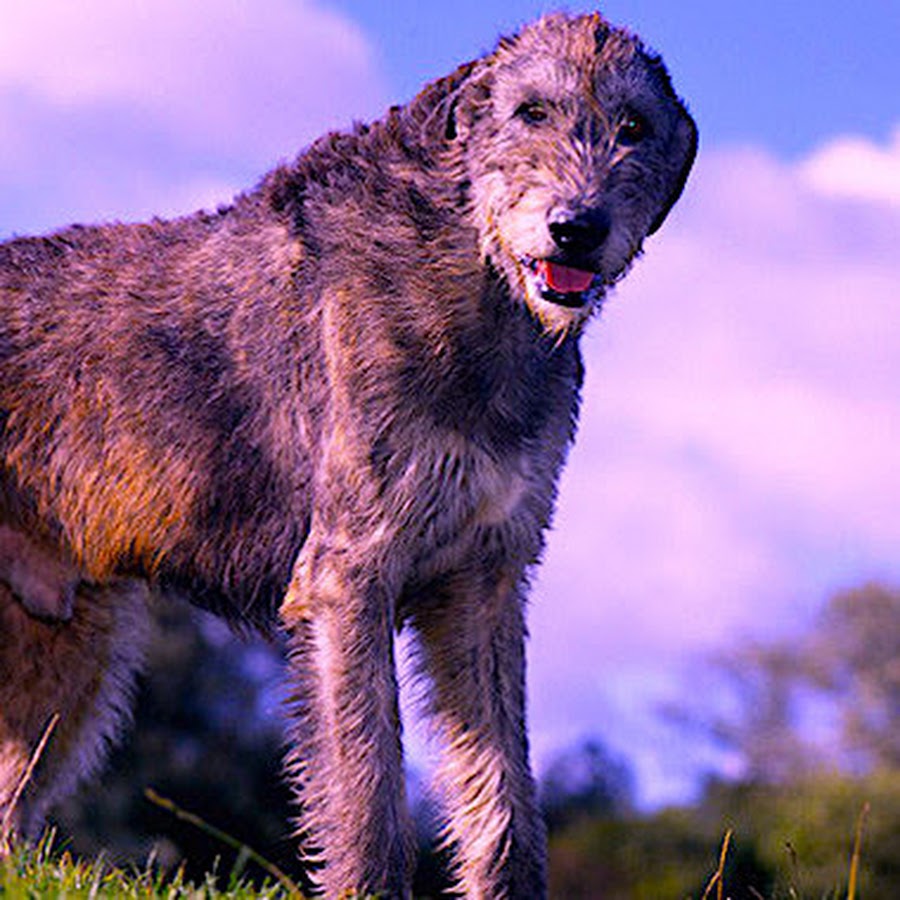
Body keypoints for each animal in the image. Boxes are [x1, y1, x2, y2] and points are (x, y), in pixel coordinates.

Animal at [0, 10, 696, 896]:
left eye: (634, 127)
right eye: (531, 111)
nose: (577, 228)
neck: (470, 275)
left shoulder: (485, 578)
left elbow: (503, 795)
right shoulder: (348, 577)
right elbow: (367, 791)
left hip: (64, 650)